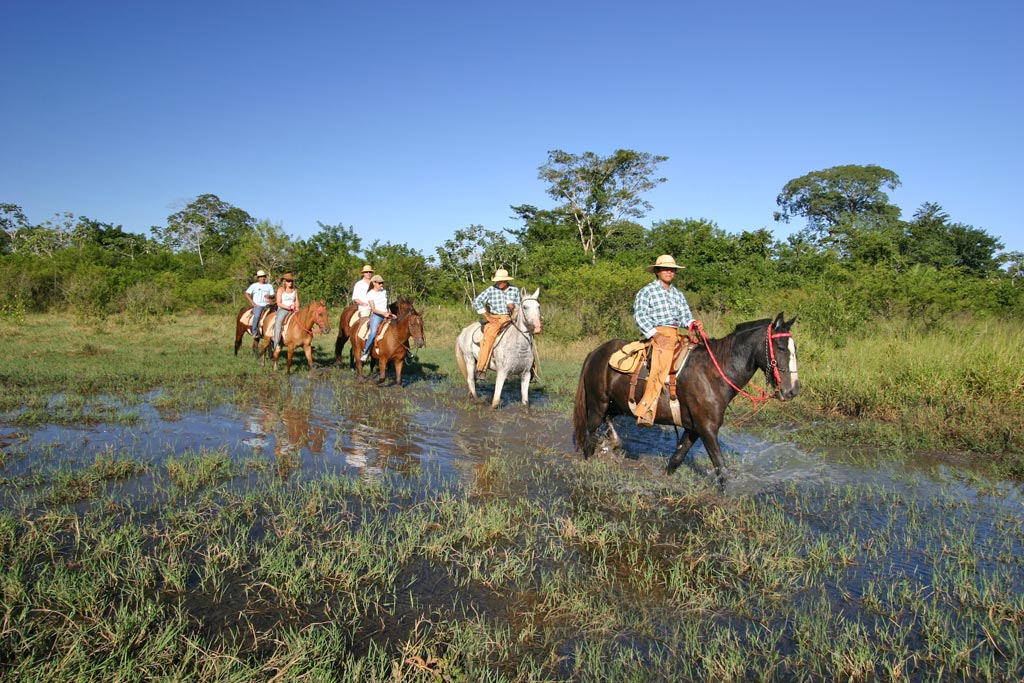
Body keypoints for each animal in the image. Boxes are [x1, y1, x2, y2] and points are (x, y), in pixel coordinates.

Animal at [573, 313, 794, 483]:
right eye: (781, 348)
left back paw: (613, 443)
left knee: (607, 421)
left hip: (615, 405)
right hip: (597, 404)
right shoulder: (708, 429)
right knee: (589, 439)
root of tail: (595, 353)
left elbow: (676, 460)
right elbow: (721, 469)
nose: (791, 390)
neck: (714, 372)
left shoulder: (693, 428)